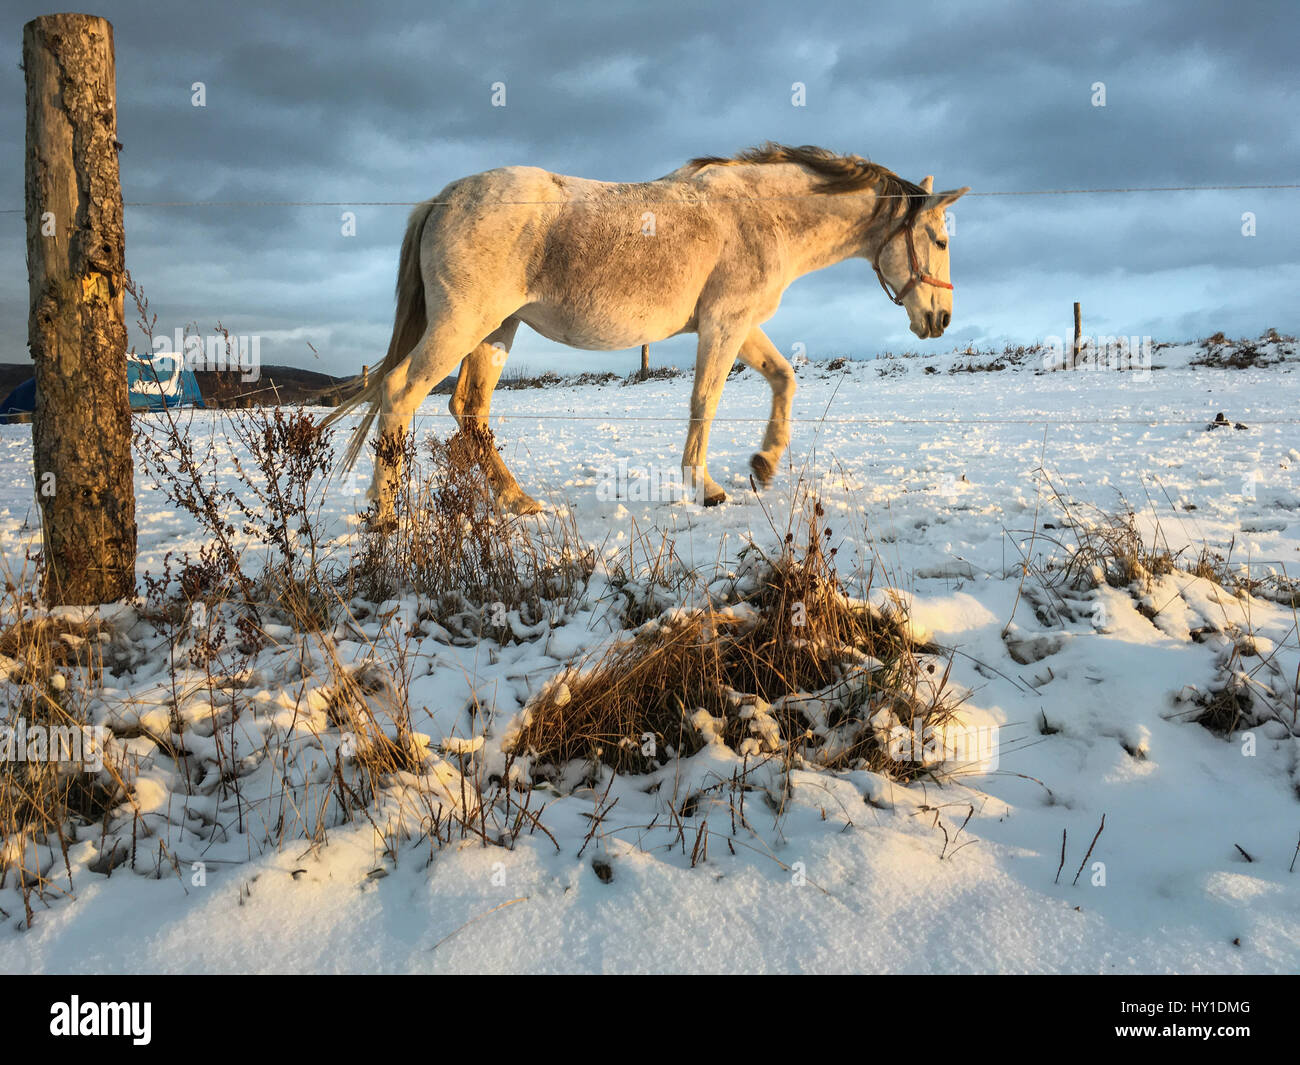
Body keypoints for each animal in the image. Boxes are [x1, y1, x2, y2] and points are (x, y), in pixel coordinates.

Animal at [324, 143, 968, 520]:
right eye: (940, 239)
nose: (940, 320)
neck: (762, 213)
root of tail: (442, 198)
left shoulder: (739, 324)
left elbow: (783, 379)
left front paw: (764, 463)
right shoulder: (724, 325)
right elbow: (705, 400)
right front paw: (706, 488)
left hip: (495, 332)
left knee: (469, 411)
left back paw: (520, 502)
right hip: (462, 326)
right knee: (400, 394)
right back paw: (385, 517)